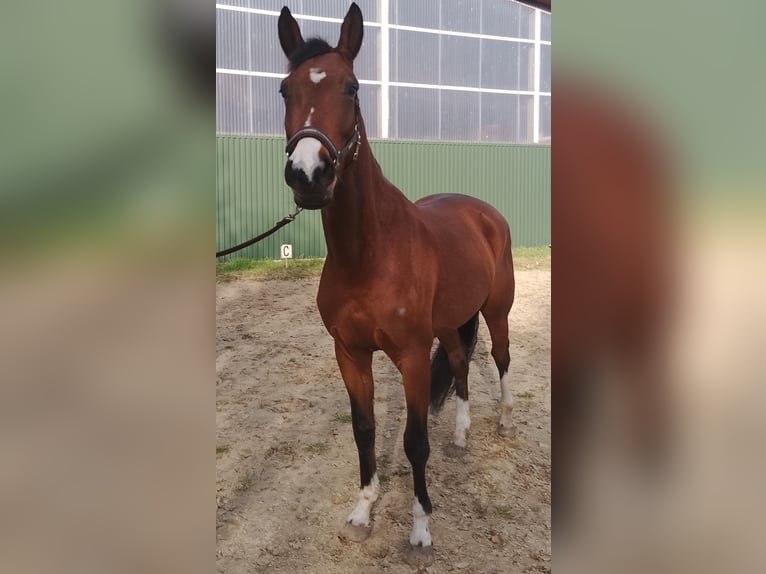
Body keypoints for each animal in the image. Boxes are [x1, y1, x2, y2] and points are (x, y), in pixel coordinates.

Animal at [276, 3, 516, 564]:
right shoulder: (350, 352)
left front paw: (421, 530)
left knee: (499, 358)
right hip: (450, 323)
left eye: (351, 87)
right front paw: (363, 511)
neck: (368, 255)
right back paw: (462, 436)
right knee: (460, 364)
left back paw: (502, 421)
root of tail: (483, 212)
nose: (308, 175)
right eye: (284, 89)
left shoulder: (410, 355)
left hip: (497, 310)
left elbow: (413, 442)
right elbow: (365, 429)